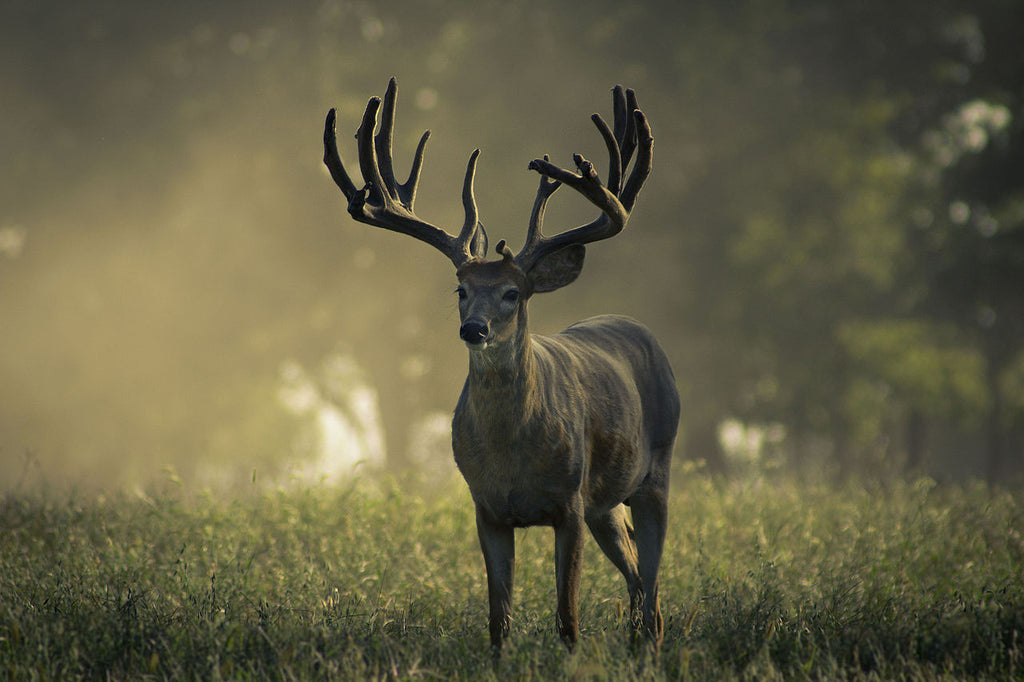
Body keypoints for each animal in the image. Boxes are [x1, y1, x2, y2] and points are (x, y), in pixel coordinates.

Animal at [321, 76, 679, 651]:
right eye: (461, 289)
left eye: (514, 292)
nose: (474, 329)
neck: (513, 456)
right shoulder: (486, 508)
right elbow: (498, 617)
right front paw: (499, 656)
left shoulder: (569, 503)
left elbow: (567, 616)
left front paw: (571, 656)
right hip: (605, 504)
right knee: (635, 573)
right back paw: (633, 642)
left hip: (656, 471)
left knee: (652, 579)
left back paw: (650, 644)